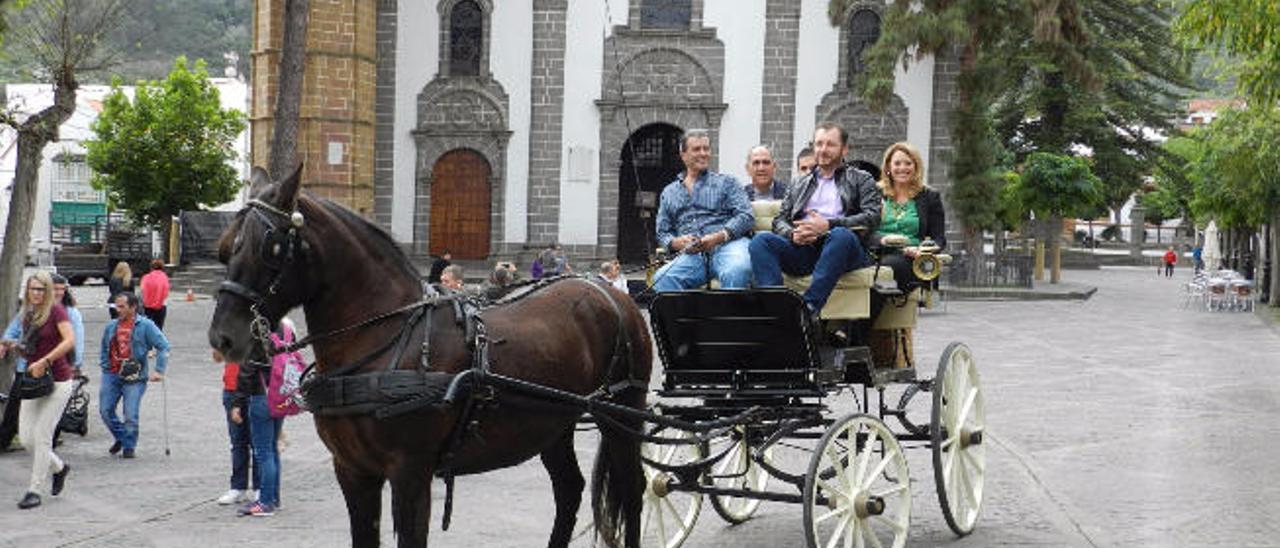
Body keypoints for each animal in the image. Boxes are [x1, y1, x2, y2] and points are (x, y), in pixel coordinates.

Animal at [211, 167, 655, 548]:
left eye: (270, 248)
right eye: (225, 248)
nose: (223, 337)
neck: (384, 339)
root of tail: (609, 291)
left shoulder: (411, 472)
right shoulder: (353, 471)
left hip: (623, 412)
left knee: (633, 492)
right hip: (554, 421)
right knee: (569, 490)